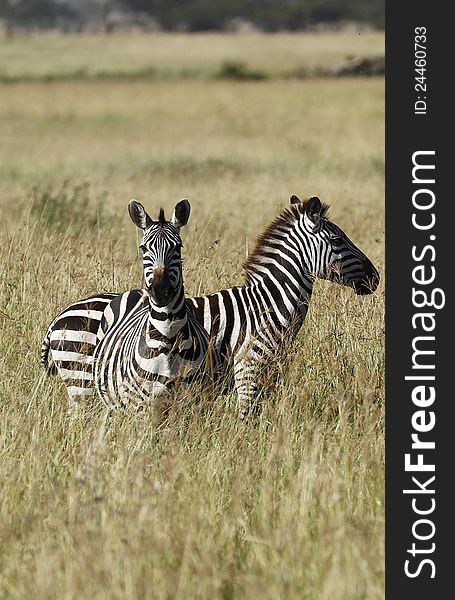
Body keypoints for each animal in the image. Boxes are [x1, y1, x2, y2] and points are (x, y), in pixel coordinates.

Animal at [42, 193, 380, 418]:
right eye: (337, 240)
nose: (375, 277)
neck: (267, 305)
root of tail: (61, 316)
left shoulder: (270, 374)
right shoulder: (248, 370)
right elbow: (247, 421)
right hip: (81, 380)